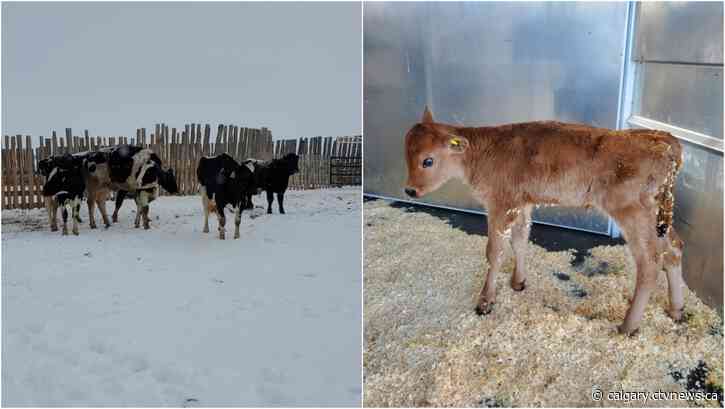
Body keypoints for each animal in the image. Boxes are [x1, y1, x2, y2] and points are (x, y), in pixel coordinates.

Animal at [404, 107, 684, 335]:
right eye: (407, 156)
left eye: (428, 160)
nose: (409, 190)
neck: (483, 153)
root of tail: (663, 140)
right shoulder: (522, 203)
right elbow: (520, 240)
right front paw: (518, 282)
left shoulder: (500, 206)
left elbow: (494, 252)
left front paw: (485, 301)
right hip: (658, 217)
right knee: (674, 250)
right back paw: (676, 310)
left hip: (633, 213)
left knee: (650, 262)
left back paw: (628, 326)